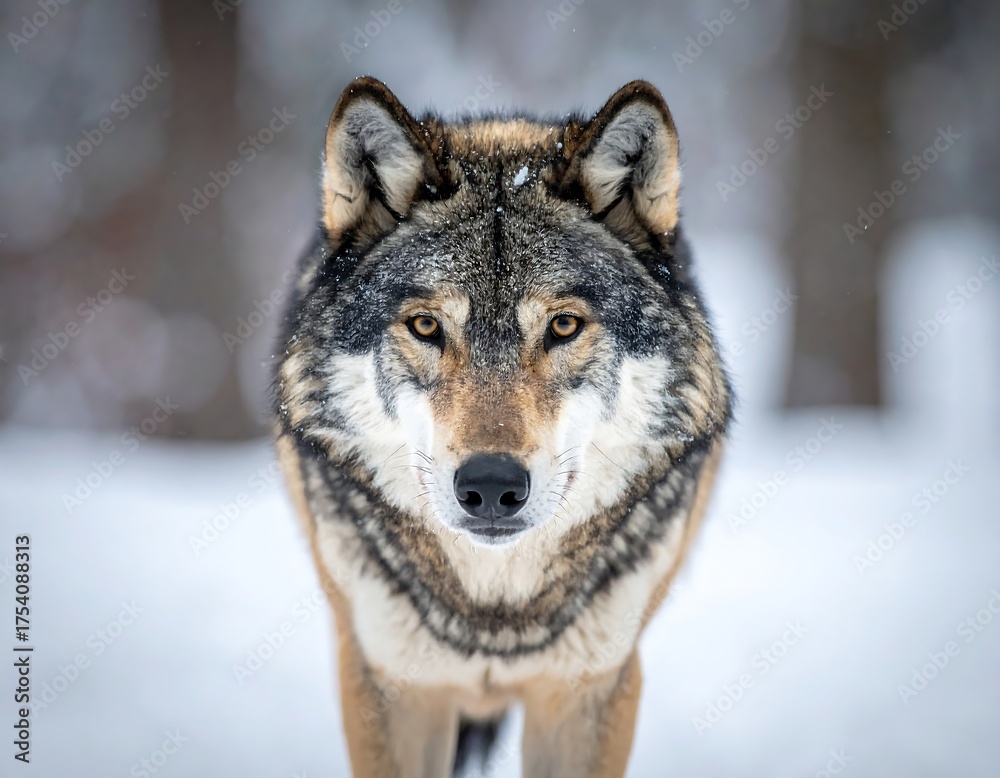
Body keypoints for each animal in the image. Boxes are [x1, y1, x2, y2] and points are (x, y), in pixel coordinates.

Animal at [272, 76, 732, 777]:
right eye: (427, 326)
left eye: (564, 325)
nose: (490, 486)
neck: (495, 612)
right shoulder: (390, 685)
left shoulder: (589, 692)